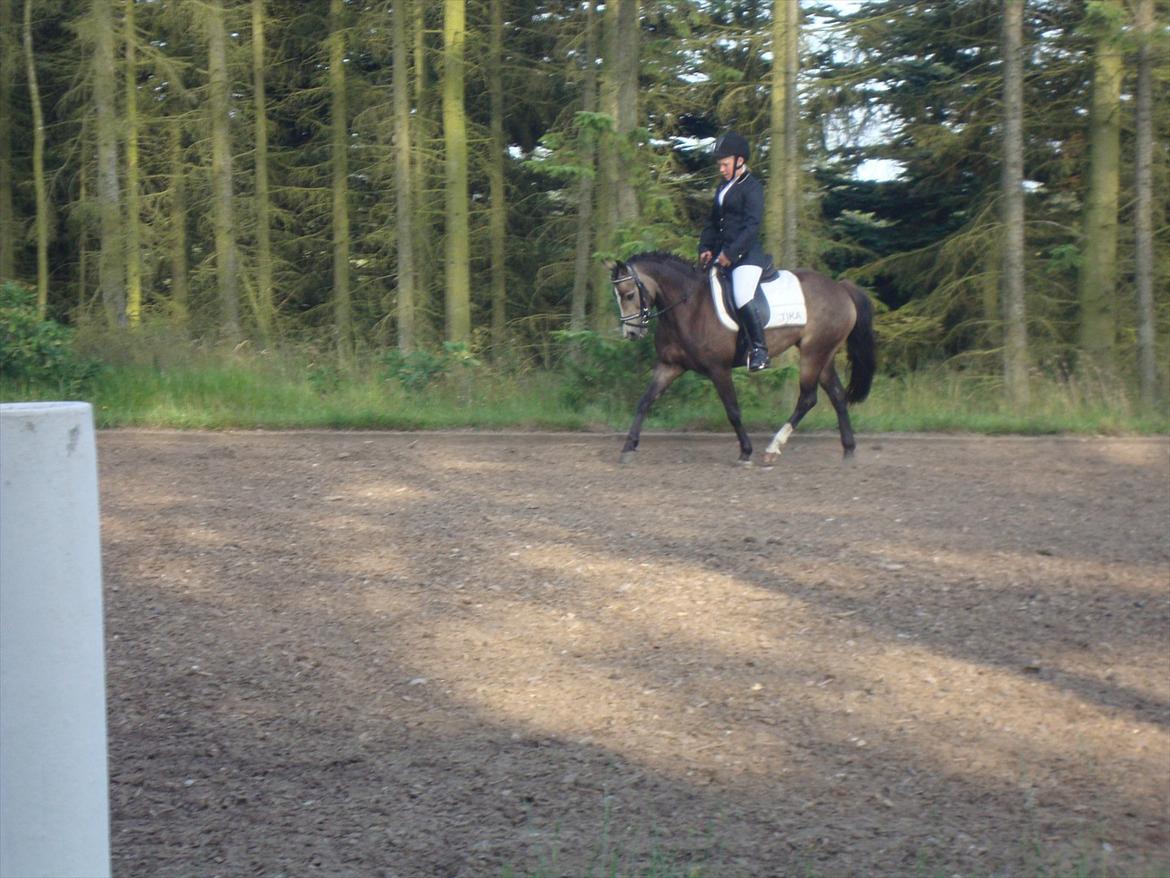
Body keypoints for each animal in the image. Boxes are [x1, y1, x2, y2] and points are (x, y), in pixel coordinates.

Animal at [606, 252, 877, 467]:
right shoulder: (670, 366)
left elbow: (733, 411)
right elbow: (644, 401)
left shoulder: (719, 369)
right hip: (824, 354)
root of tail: (841, 288)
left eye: (629, 294)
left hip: (814, 353)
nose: (631, 333)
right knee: (837, 395)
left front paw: (745, 452)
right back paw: (848, 450)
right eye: (618, 296)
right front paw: (628, 448)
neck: (688, 305)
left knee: (808, 398)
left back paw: (772, 449)